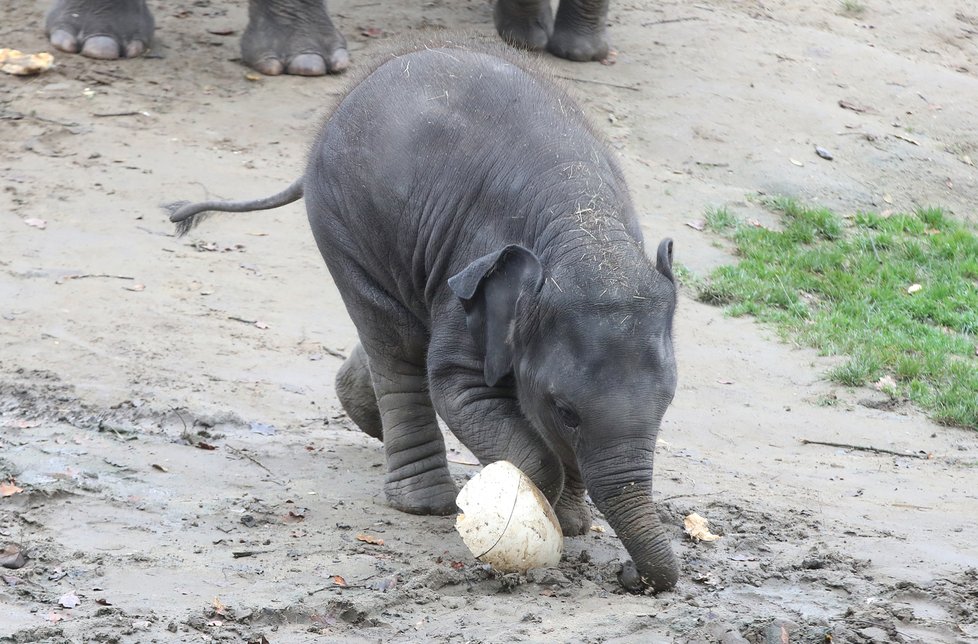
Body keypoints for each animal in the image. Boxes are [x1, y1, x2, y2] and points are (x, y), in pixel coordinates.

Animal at [168, 42, 676, 592]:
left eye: (667, 405)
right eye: (566, 410)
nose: (630, 575)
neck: (585, 226)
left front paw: (573, 523)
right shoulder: (472, 275)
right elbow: (458, 388)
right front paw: (537, 508)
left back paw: (364, 415)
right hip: (345, 227)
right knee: (396, 344)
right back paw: (424, 503)